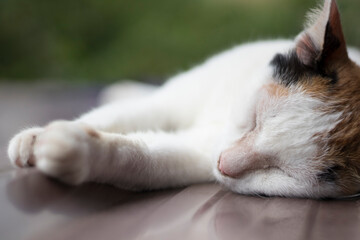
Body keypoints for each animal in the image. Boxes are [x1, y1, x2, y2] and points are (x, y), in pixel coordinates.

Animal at [7, 0, 360, 199]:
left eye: (284, 173)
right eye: (255, 119)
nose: (224, 163)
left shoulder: (201, 153)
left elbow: (140, 156)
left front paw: (74, 149)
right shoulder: (175, 103)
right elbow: (114, 116)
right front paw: (33, 138)